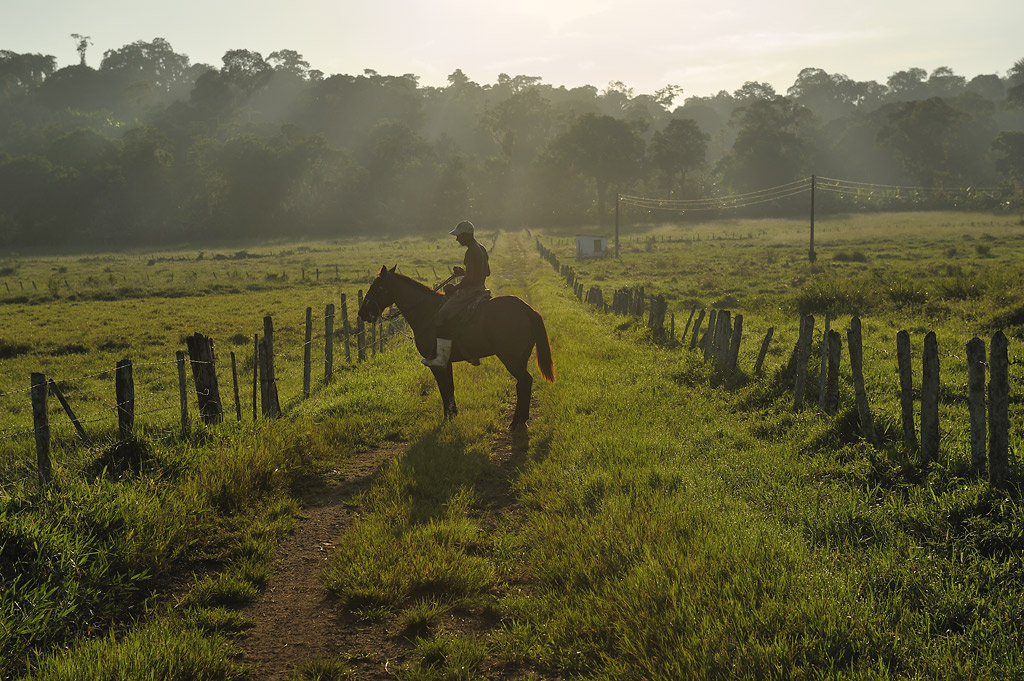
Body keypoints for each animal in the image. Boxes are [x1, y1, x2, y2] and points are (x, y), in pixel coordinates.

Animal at [358, 264, 557, 428]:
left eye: (377, 288)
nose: (362, 313)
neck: (426, 311)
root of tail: (528, 310)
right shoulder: (446, 363)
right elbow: (450, 388)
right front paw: (453, 413)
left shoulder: (436, 364)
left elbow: (443, 388)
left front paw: (447, 417)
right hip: (521, 358)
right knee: (522, 384)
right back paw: (521, 419)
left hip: (511, 358)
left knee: (525, 381)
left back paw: (516, 422)